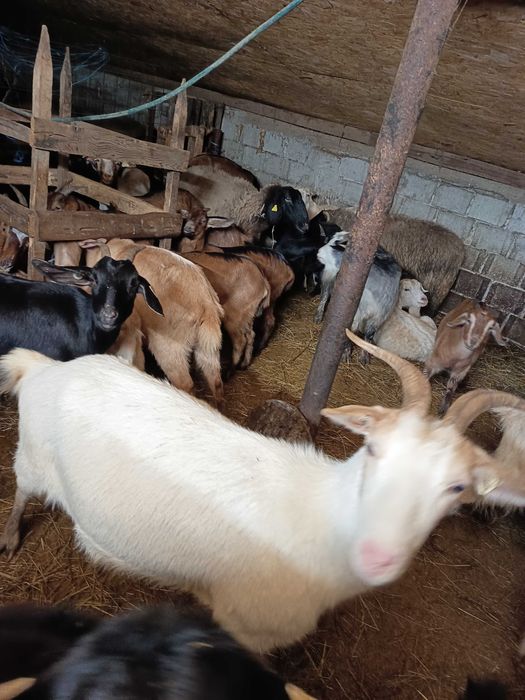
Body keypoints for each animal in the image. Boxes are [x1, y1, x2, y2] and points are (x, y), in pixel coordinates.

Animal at [1, 332, 521, 653]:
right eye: (373, 448)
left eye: (457, 487)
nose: (378, 557)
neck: (320, 516)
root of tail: (46, 369)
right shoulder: (246, 625)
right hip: (32, 456)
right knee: (22, 491)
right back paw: (9, 537)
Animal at [315, 231, 401, 361]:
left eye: (336, 246)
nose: (318, 253)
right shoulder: (356, 314)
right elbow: (350, 332)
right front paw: (346, 353)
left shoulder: (379, 317)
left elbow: (369, 335)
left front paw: (365, 356)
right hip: (329, 278)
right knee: (324, 296)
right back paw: (318, 316)